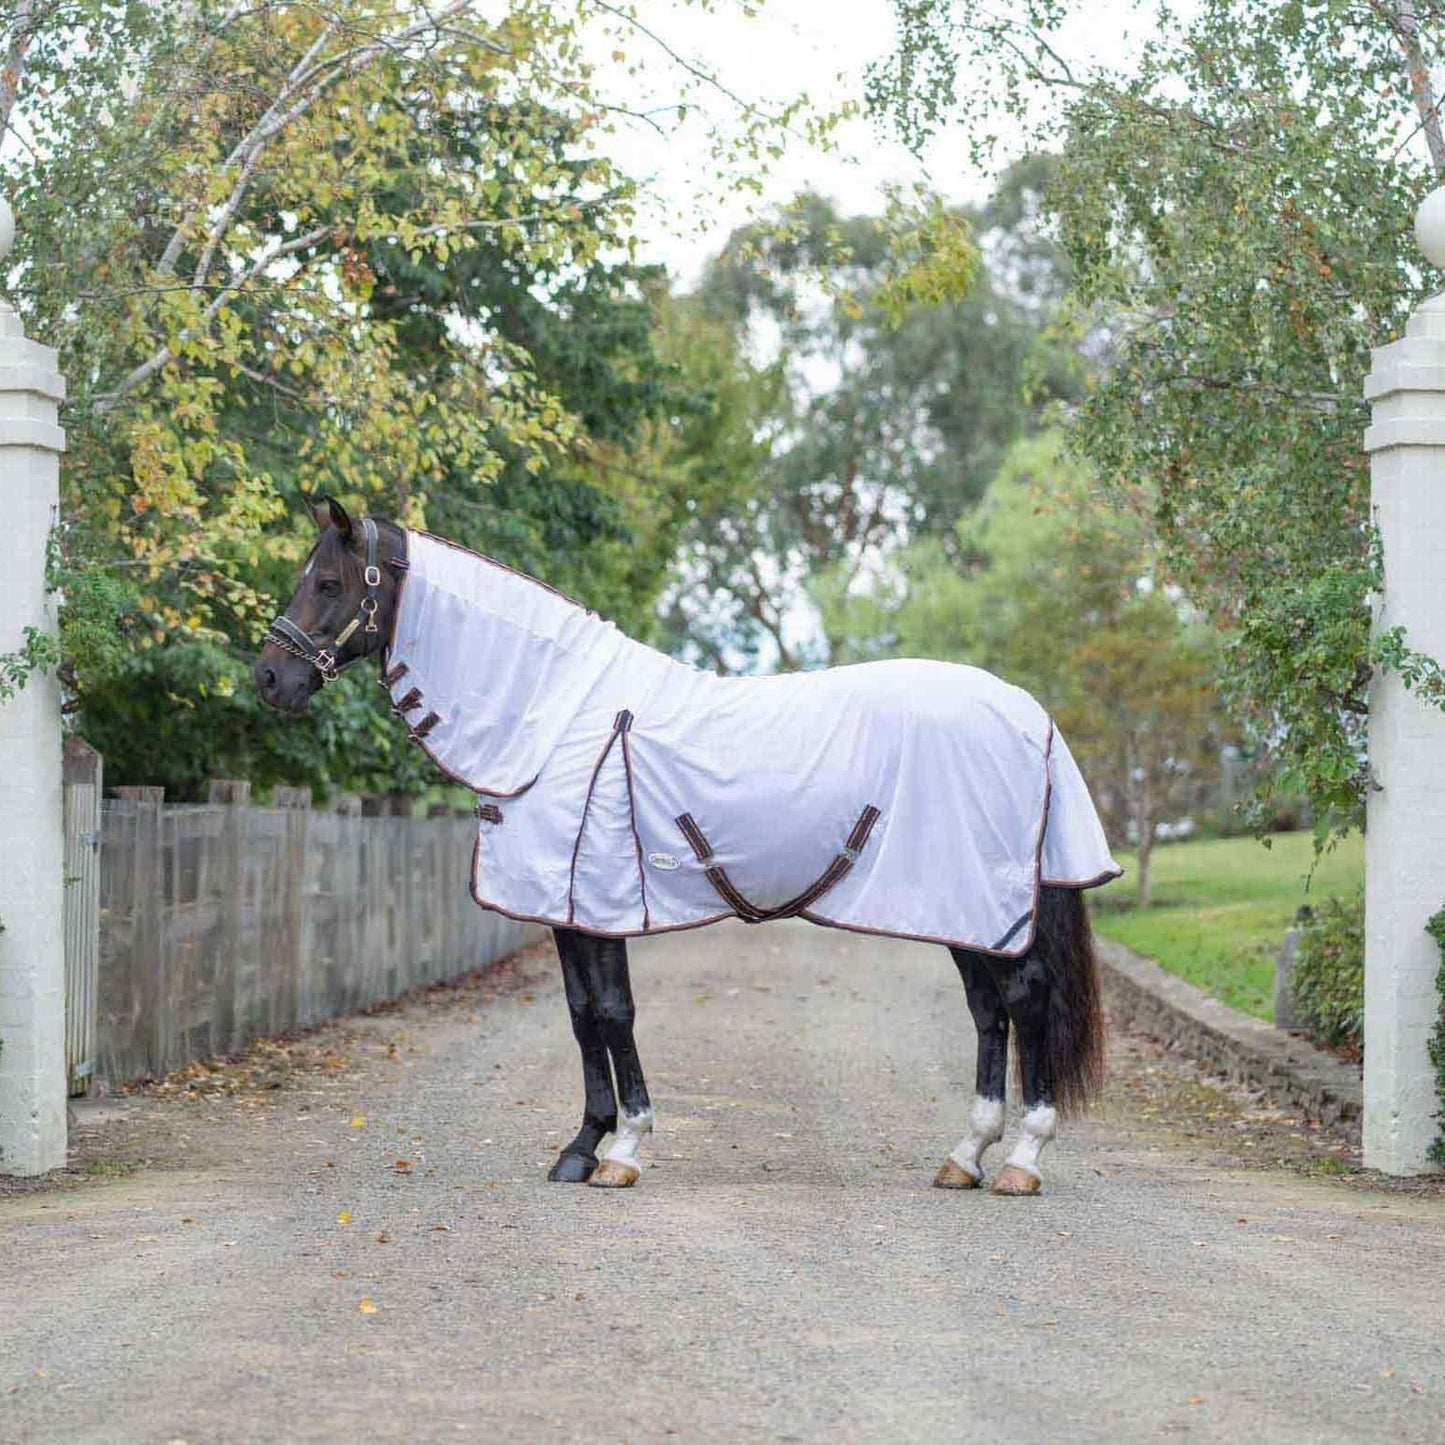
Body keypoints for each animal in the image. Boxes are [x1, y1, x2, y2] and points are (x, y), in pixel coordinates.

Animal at [254, 500, 1121, 1195]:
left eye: (327, 582)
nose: (268, 679)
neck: (554, 712)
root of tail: (1028, 713)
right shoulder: (566, 908)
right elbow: (581, 1015)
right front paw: (580, 1147)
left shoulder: (598, 900)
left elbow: (612, 1011)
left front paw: (624, 1149)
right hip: (957, 905)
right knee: (988, 1012)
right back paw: (963, 1156)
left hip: (981, 900)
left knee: (1024, 1000)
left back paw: (1021, 1161)